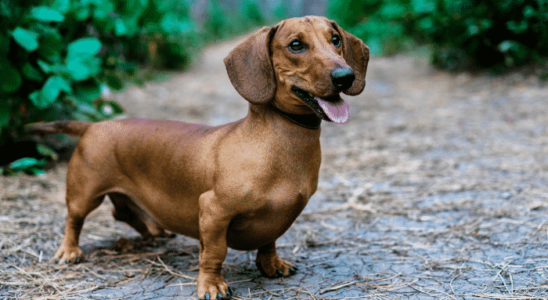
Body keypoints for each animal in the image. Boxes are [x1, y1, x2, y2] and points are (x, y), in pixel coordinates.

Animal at [31, 17, 372, 300]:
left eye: (335, 40)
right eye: (296, 45)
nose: (345, 76)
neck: (276, 142)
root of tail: (94, 125)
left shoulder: (278, 218)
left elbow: (269, 240)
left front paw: (272, 264)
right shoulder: (213, 210)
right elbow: (214, 253)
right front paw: (211, 286)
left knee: (124, 213)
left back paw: (154, 231)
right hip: (85, 194)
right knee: (74, 219)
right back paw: (69, 251)